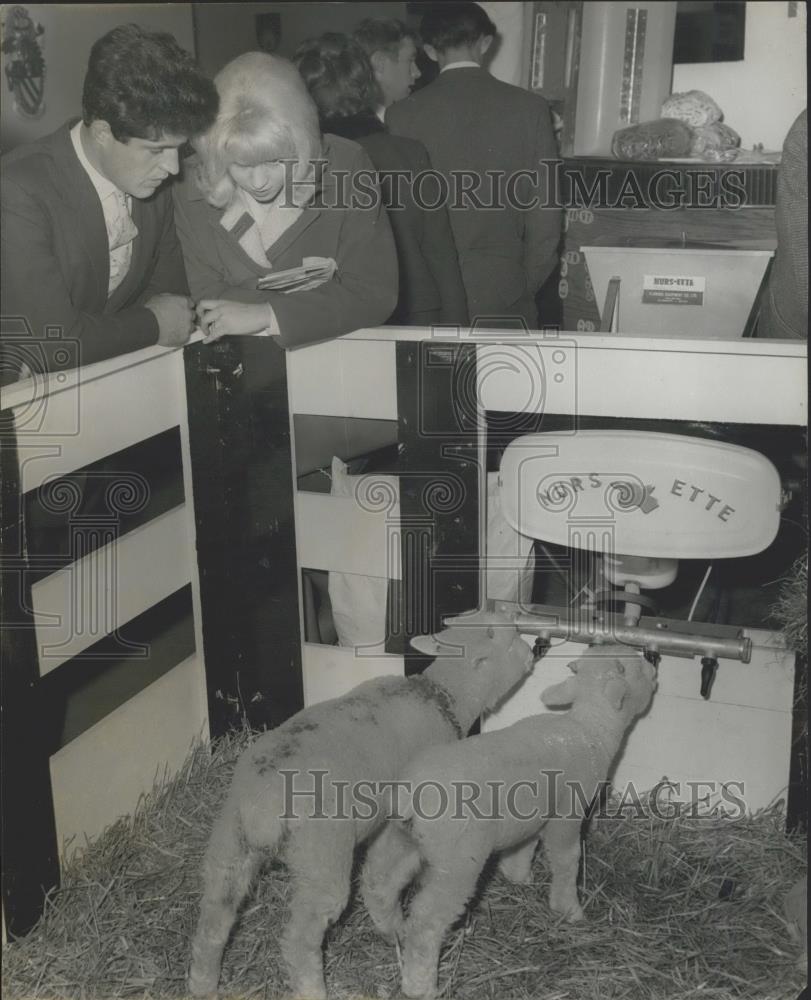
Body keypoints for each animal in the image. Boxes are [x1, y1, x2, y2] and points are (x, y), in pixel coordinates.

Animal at [187, 612, 536, 996]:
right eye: (512, 638)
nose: (534, 651)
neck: (442, 696)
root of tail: (261, 807)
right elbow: (382, 876)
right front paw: (393, 926)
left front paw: (391, 929)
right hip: (320, 852)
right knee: (301, 936)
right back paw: (313, 989)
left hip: (229, 844)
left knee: (215, 918)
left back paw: (202, 984)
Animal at [362, 644, 660, 996]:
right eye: (635, 668)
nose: (654, 667)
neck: (589, 728)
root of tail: (409, 795)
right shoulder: (566, 814)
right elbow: (567, 859)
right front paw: (569, 908)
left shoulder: (532, 815)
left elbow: (524, 847)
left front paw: (519, 877)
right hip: (458, 860)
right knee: (426, 921)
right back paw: (421, 984)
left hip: (401, 839)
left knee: (379, 882)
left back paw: (390, 930)